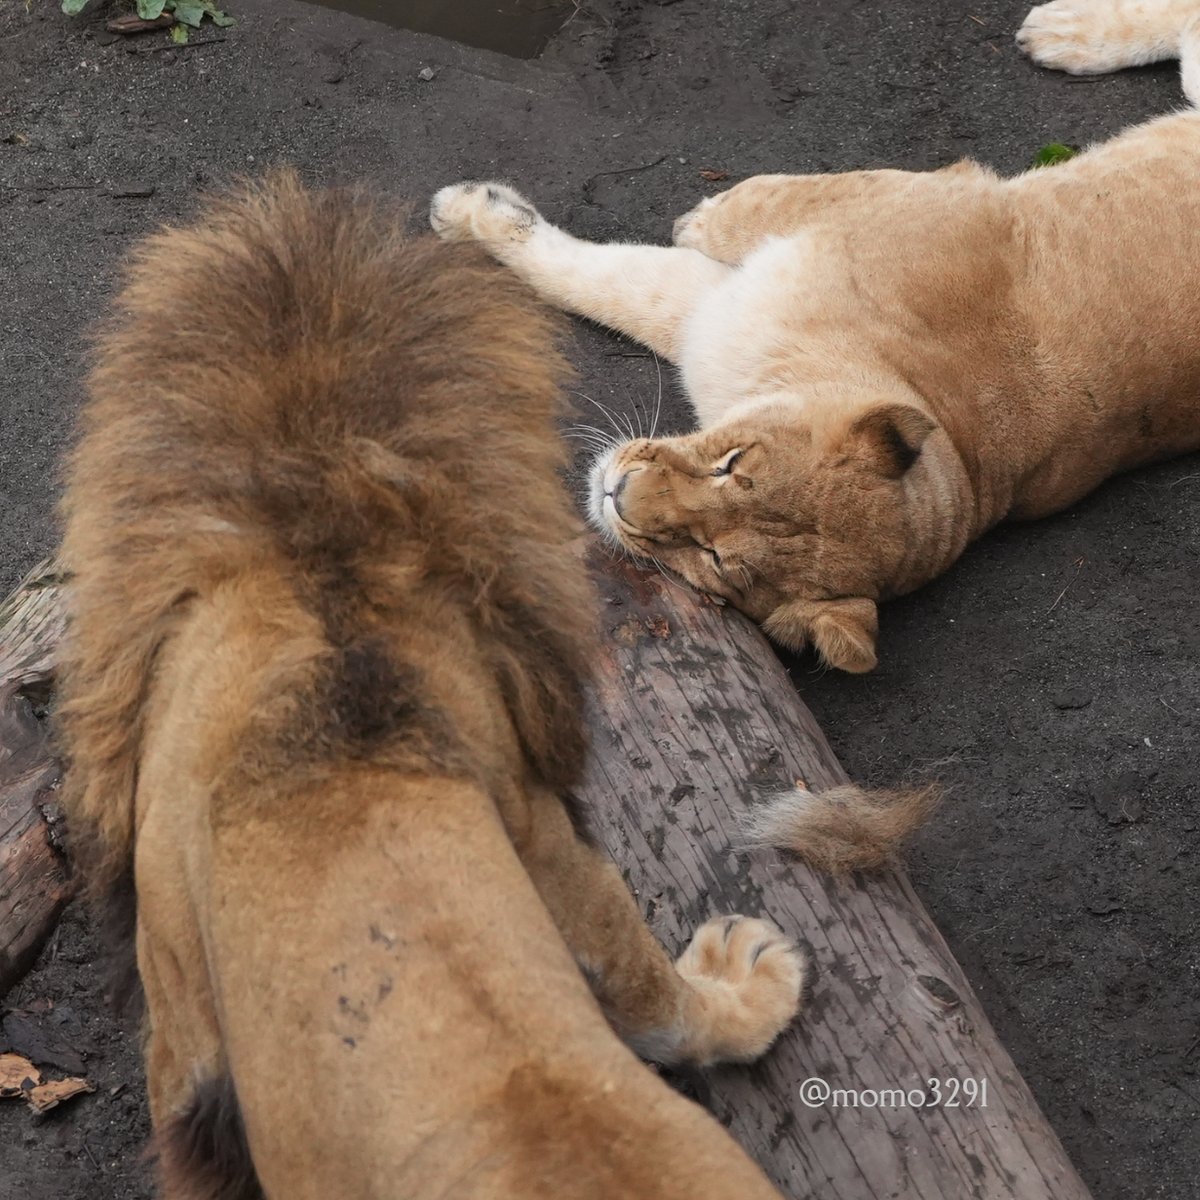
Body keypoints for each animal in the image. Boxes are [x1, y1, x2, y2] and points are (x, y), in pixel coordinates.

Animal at [428, 0, 1200, 677]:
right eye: (732, 463)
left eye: (715, 561)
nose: (618, 493)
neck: (961, 441)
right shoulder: (920, 197)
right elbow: (753, 209)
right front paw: (699, 213)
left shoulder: (719, 317)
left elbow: (605, 282)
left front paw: (469, 214)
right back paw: (1060, 32)